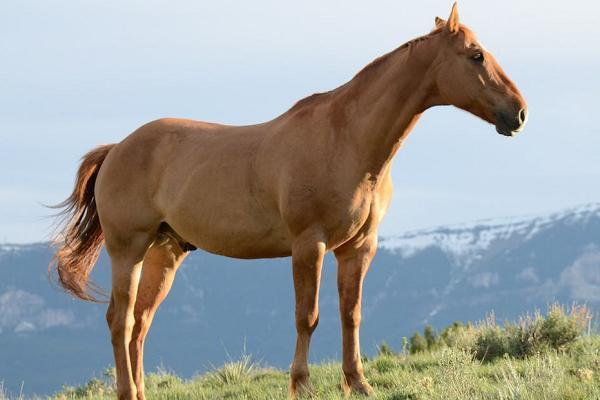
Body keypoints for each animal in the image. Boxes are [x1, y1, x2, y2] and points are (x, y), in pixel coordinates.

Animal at [54, 3, 528, 400]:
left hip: (165, 252)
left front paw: (359, 383)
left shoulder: (358, 248)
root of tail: (117, 148)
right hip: (128, 249)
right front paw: (301, 385)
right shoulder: (308, 245)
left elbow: (351, 314)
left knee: (140, 324)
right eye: (476, 56)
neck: (347, 140)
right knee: (120, 320)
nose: (519, 112)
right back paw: (126, 392)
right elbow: (308, 315)